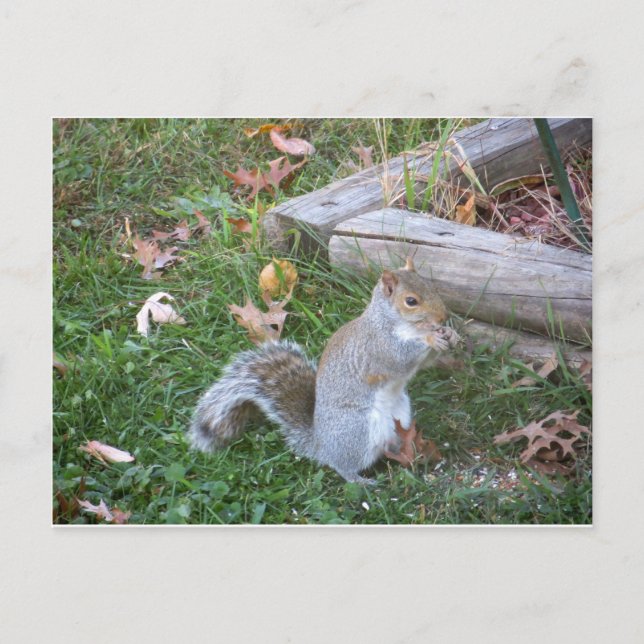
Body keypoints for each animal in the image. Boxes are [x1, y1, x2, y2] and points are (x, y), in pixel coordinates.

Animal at [188, 258, 459, 484]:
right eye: (411, 301)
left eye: (431, 286)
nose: (443, 316)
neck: (395, 323)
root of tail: (320, 444)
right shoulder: (379, 348)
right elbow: (402, 358)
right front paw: (431, 338)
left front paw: (450, 334)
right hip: (356, 430)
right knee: (344, 466)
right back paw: (362, 481)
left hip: (399, 416)